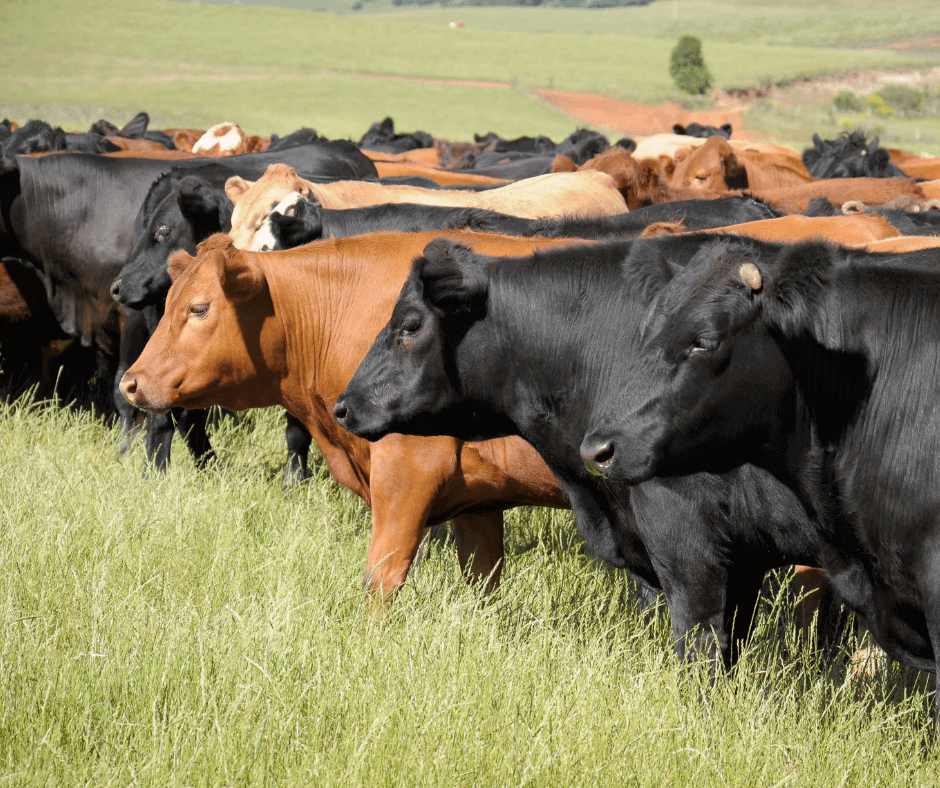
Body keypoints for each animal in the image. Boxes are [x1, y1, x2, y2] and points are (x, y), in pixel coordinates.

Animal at [121, 231, 588, 600]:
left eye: (199, 308)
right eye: (168, 303)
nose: (130, 383)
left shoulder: (407, 472)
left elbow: (382, 577)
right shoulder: (479, 496)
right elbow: (482, 576)